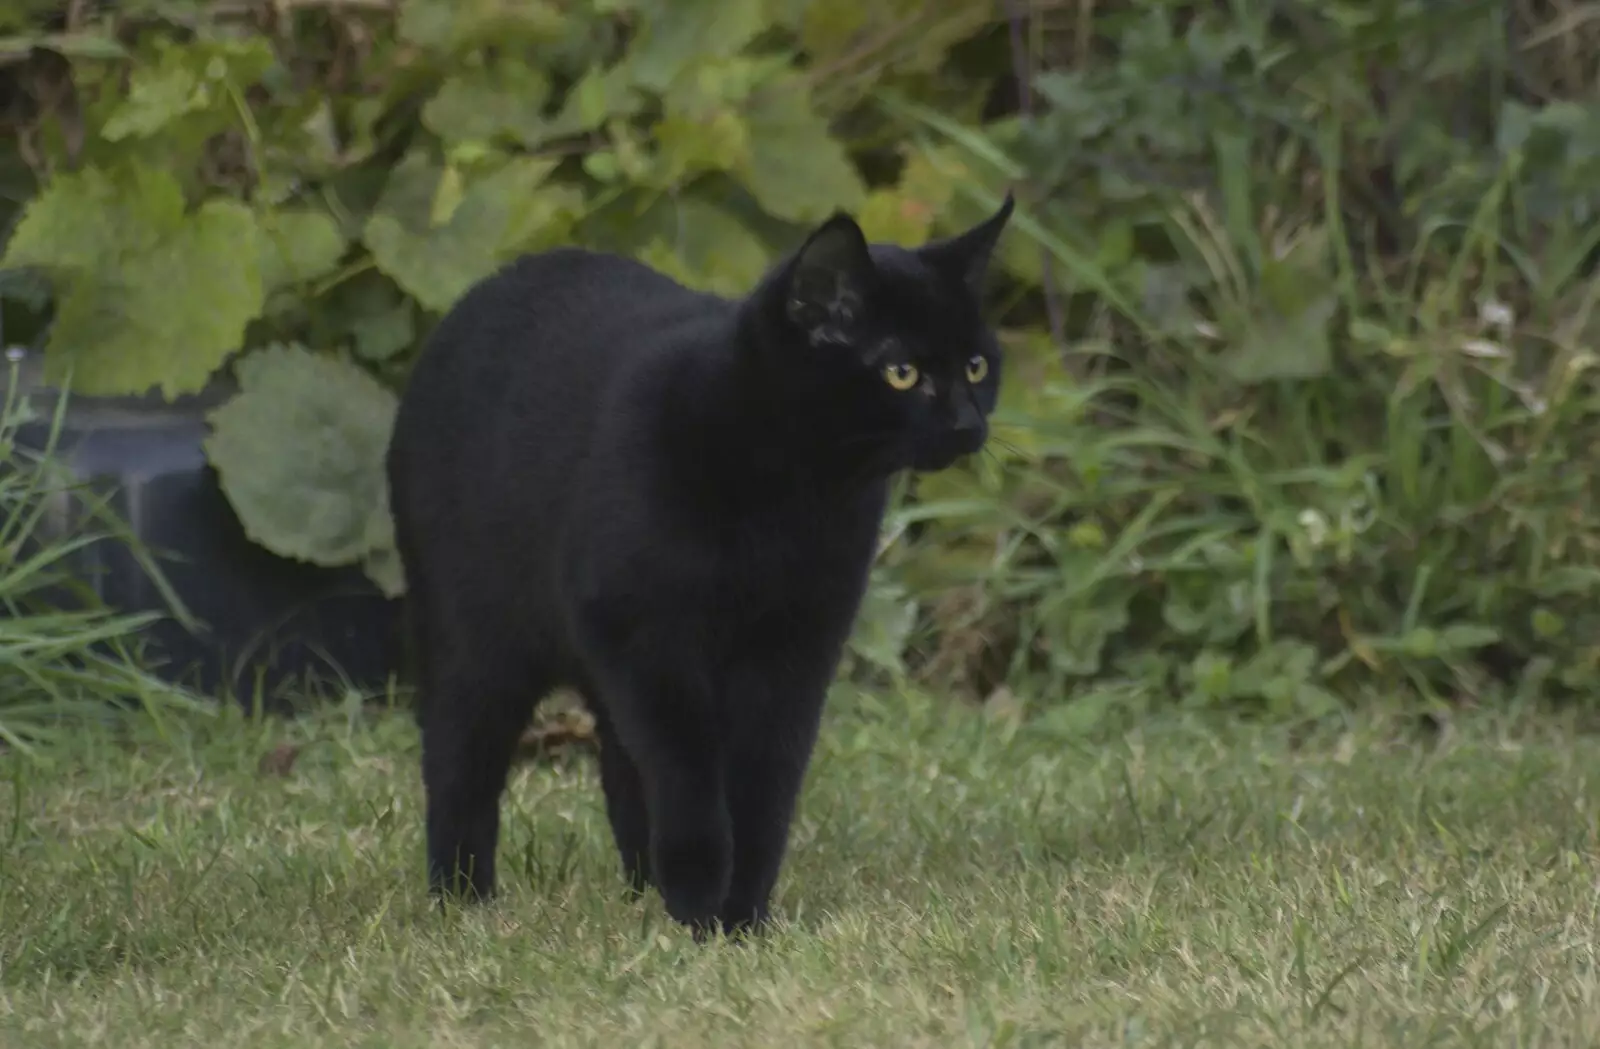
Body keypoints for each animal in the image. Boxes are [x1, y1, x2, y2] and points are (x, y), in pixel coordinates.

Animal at [385, 194, 1011, 933]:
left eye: (976, 366)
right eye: (902, 372)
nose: (969, 424)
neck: (789, 495)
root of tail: (475, 298)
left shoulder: (795, 649)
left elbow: (765, 783)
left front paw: (740, 915)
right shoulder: (647, 640)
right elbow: (687, 773)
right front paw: (698, 899)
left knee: (622, 772)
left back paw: (639, 888)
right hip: (477, 646)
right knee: (460, 766)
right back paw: (463, 899)